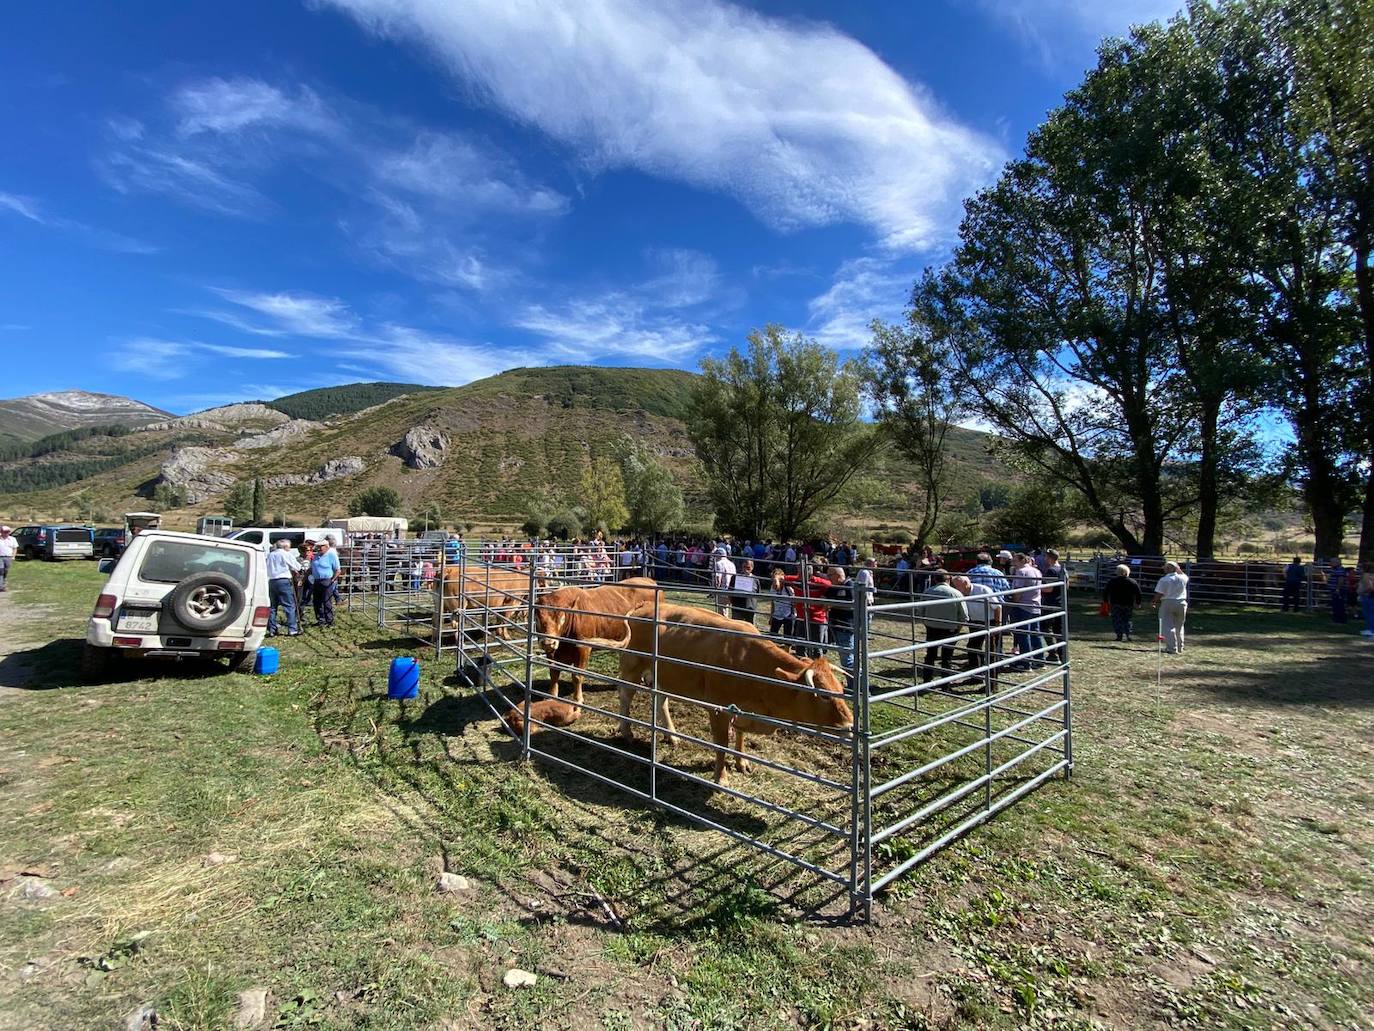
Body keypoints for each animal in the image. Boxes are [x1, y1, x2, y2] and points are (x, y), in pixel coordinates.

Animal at [533, 577, 656, 709]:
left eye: (562, 618)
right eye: (537, 618)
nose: (548, 642)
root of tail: (647, 580)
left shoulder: (583, 649)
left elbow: (577, 676)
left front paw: (578, 700)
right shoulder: (553, 652)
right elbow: (554, 673)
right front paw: (551, 696)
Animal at [615, 604, 846, 780]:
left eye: (841, 690)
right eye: (824, 695)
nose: (849, 725)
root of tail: (643, 606)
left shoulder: (743, 710)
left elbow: (740, 735)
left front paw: (741, 762)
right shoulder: (718, 708)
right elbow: (722, 743)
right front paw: (721, 778)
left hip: (664, 675)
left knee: (660, 700)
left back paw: (670, 735)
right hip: (633, 666)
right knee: (625, 694)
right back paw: (627, 731)